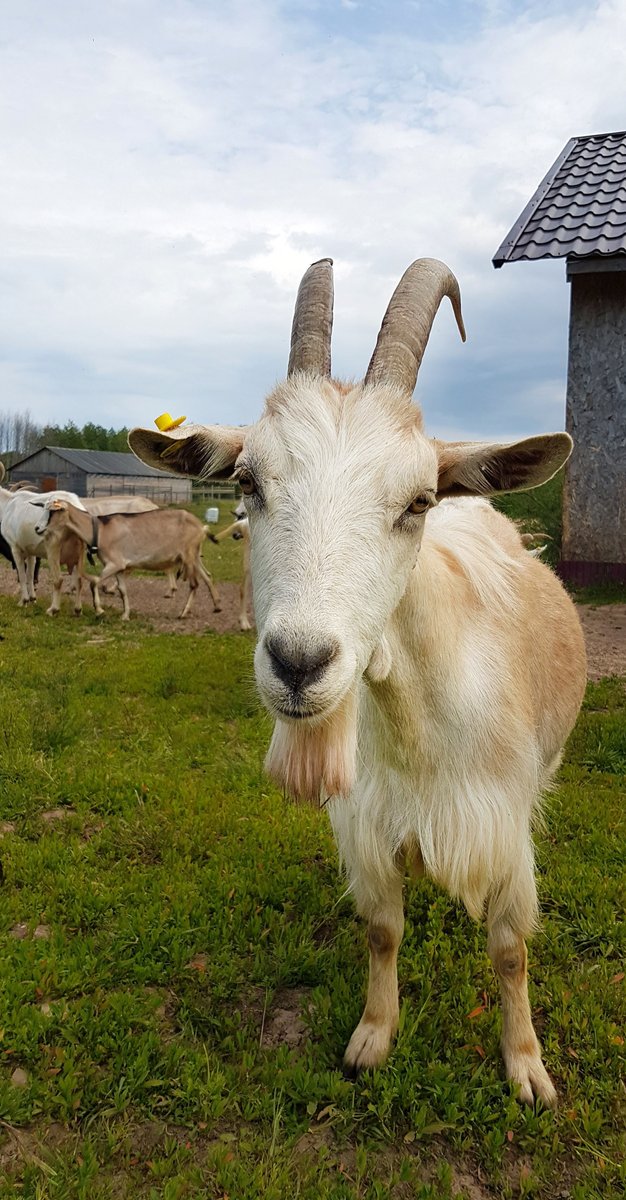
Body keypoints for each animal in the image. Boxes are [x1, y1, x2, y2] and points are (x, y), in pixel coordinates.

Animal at [128, 260, 587, 1104]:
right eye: (247, 482)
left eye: (418, 501)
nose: (299, 662)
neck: (422, 734)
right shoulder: (368, 825)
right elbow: (381, 930)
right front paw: (373, 1037)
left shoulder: (504, 831)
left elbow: (510, 951)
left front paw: (526, 1067)